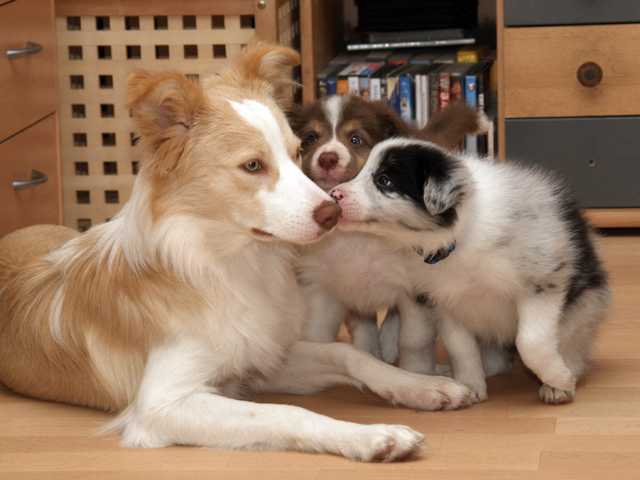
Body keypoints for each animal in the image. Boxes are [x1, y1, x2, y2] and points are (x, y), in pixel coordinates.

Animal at [291, 95, 490, 368]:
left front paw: (415, 372)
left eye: (356, 139)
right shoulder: (322, 284)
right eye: (311, 138)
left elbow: (414, 341)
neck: (356, 232)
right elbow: (319, 334)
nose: (327, 158)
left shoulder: (414, 289)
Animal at [329, 137, 610, 404]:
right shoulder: (445, 302)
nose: (334, 194)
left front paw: (560, 379)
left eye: (384, 180)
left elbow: (531, 341)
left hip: (586, 306)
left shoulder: (543, 281)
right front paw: (469, 386)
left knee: (572, 344)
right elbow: (461, 347)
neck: (458, 236)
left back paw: (560, 380)